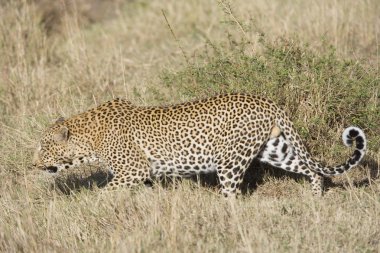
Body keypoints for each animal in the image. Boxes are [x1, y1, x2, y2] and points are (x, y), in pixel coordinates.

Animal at [31, 94, 366, 197]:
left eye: (44, 147)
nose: (32, 164)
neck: (89, 138)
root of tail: (267, 100)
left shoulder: (133, 170)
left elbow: (104, 194)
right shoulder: (144, 175)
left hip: (230, 161)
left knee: (232, 196)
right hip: (273, 149)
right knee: (312, 170)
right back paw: (315, 199)